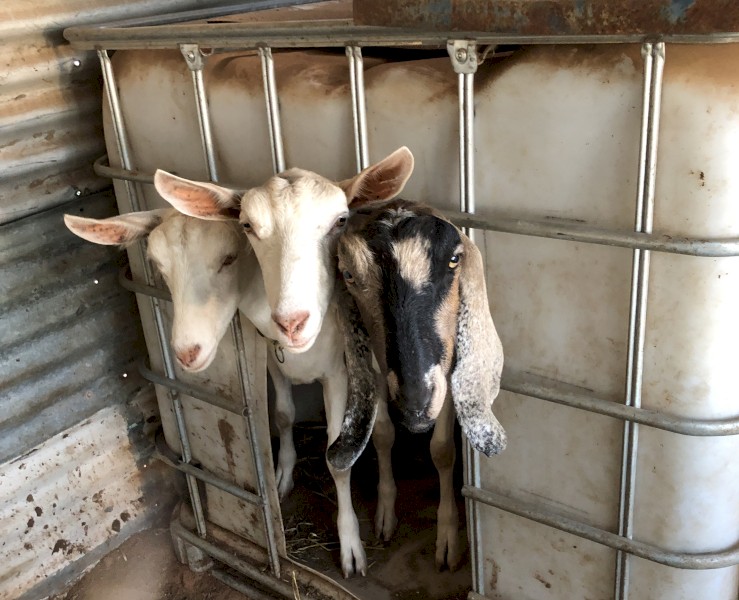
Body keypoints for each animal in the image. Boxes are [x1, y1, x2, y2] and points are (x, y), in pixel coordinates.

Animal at [63, 208, 377, 577]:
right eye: (158, 265)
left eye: (229, 259)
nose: (186, 352)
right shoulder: (271, 360)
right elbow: (283, 416)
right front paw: (283, 475)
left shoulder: (338, 372)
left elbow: (337, 456)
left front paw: (350, 545)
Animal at [330, 151, 507, 570]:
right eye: (348, 274)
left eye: (455, 260)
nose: (415, 405)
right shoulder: (379, 368)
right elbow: (382, 433)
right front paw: (385, 514)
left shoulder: (446, 375)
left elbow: (442, 451)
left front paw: (448, 540)